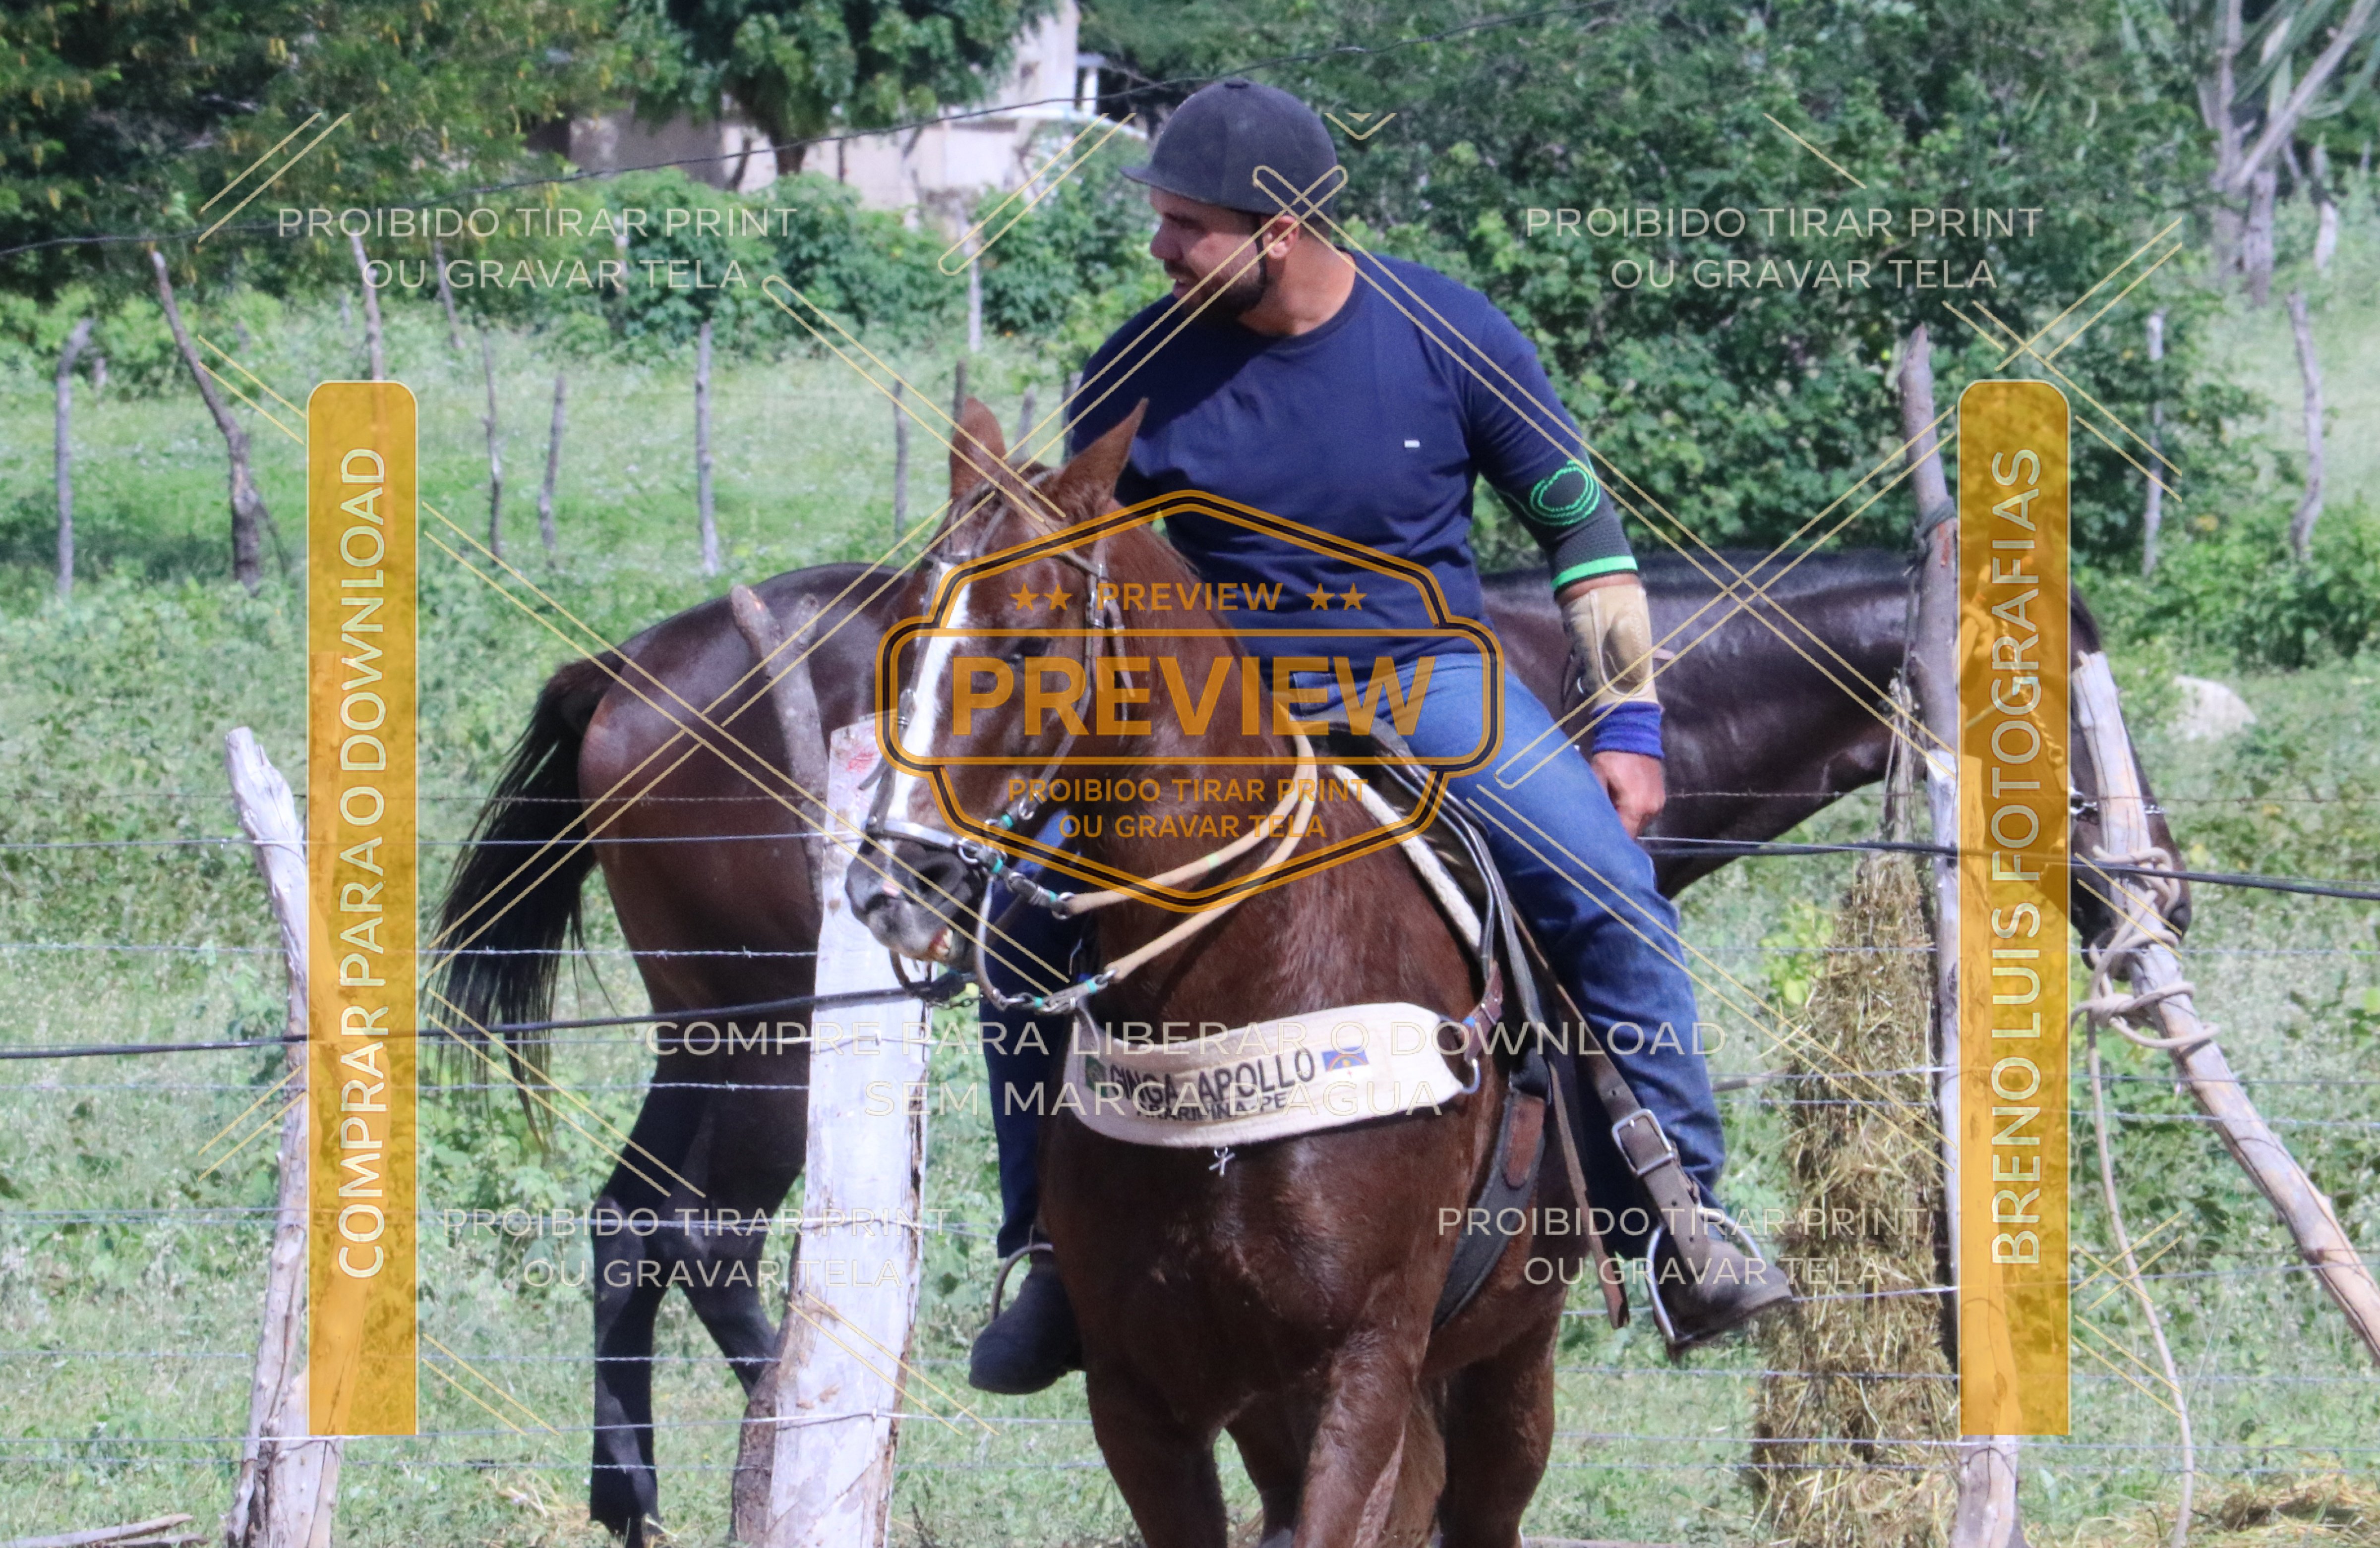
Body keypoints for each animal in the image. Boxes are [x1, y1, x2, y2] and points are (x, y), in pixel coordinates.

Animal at [433, 472, 2180, 1543]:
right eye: (2063, 703)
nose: (2157, 889)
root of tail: (622, 672)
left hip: (715, 1042)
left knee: (640, 1222)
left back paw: (644, 1493)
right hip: (772, 1046)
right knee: (700, 1230)